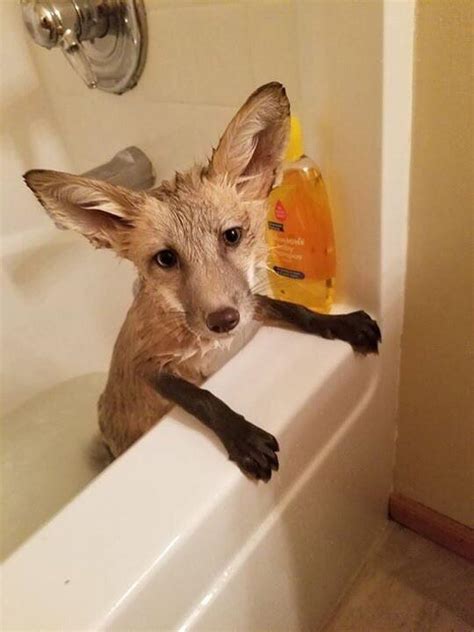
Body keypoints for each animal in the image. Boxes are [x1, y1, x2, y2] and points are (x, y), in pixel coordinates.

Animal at [24, 82, 380, 478]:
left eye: (232, 236)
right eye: (166, 258)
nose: (222, 320)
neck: (215, 346)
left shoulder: (249, 306)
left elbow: (296, 310)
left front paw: (344, 323)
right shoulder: (148, 366)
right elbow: (204, 399)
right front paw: (243, 438)